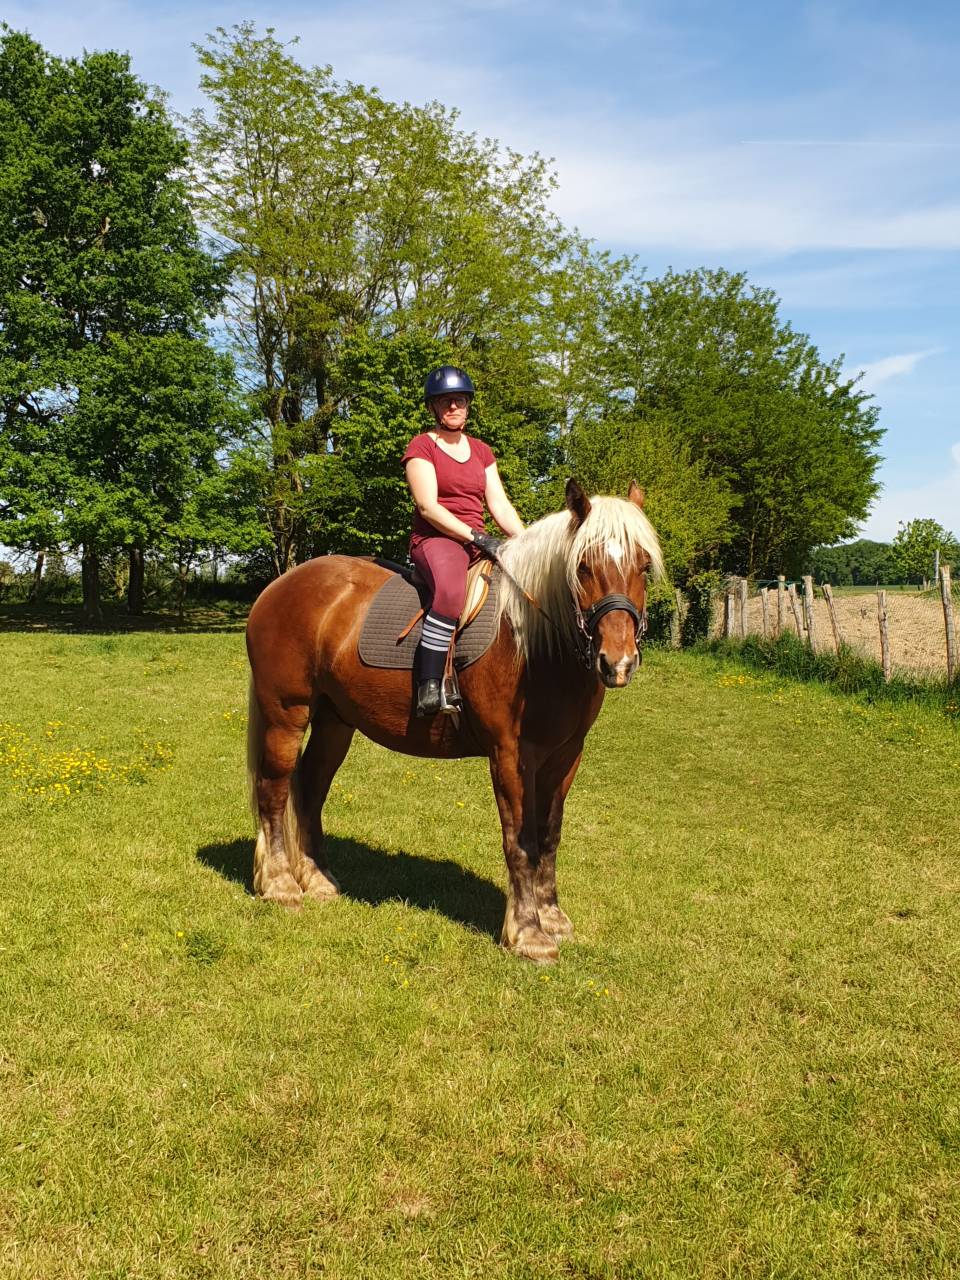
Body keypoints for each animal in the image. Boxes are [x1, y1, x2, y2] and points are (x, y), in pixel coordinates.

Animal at [245, 478, 664, 963]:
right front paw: (528, 932)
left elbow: (549, 837)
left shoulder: (565, 756)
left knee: (310, 788)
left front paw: (553, 919)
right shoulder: (510, 755)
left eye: (644, 565)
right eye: (583, 566)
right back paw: (279, 884)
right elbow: (520, 840)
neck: (532, 640)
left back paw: (317, 880)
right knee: (274, 790)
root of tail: (279, 585)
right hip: (285, 713)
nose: (618, 662)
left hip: (335, 721)